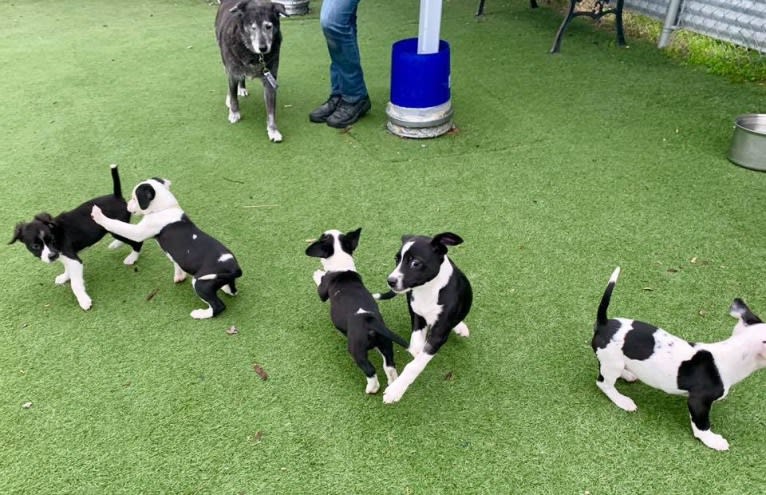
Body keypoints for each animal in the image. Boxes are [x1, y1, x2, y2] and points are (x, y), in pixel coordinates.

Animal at [89, 177, 243, 318]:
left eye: (134, 198)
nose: (127, 204)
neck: (164, 208)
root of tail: (234, 268)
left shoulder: (138, 232)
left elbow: (117, 225)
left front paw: (99, 215)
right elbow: (177, 263)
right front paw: (179, 276)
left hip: (202, 283)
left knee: (218, 306)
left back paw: (200, 314)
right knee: (232, 290)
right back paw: (225, 289)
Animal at [214, 0, 286, 143]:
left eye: (268, 26)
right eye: (253, 27)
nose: (263, 48)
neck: (254, 54)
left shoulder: (270, 80)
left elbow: (271, 112)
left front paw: (273, 130)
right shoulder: (232, 73)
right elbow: (234, 96)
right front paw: (234, 113)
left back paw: (242, 88)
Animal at [308, 229, 414, 396]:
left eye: (322, 237)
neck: (341, 263)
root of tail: (369, 319)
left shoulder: (322, 292)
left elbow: (320, 282)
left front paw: (317, 273)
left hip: (356, 350)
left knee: (370, 369)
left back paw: (372, 388)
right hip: (385, 342)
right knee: (389, 364)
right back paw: (392, 383)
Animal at [378, 232, 474, 404]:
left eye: (415, 263)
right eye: (396, 259)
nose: (391, 281)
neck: (428, 290)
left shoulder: (439, 335)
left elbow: (414, 365)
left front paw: (395, 390)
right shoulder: (417, 316)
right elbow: (416, 346)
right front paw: (416, 353)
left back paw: (460, 326)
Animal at [596, 270, 766, 452]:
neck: (732, 353)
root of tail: (604, 324)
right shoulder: (698, 401)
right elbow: (702, 425)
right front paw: (712, 440)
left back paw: (628, 374)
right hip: (612, 363)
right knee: (604, 383)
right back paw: (622, 400)